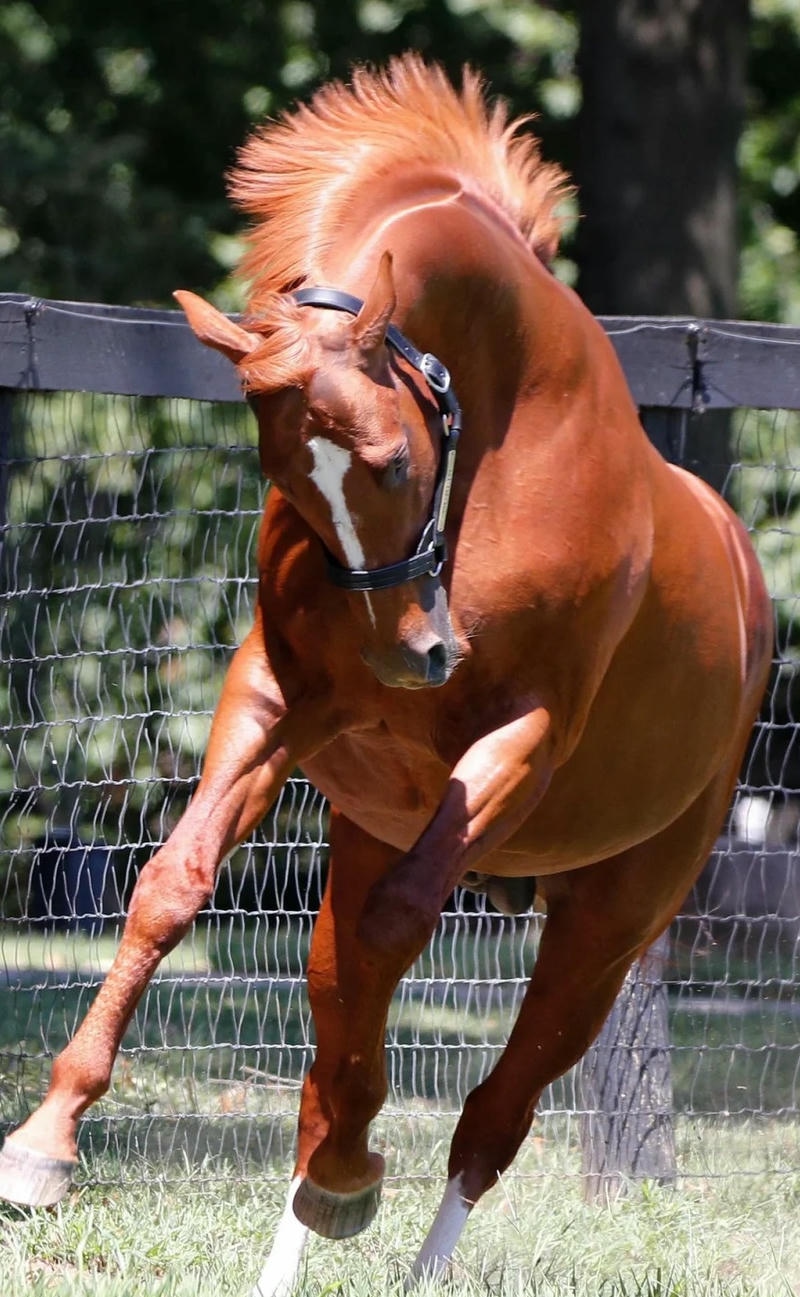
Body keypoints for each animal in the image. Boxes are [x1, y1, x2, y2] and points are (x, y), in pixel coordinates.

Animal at [1, 55, 772, 1291]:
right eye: (285, 473)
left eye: (397, 459)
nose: (414, 658)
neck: (508, 429)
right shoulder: (277, 697)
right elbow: (172, 885)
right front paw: (43, 1142)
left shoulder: (524, 732)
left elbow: (396, 928)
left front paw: (354, 1161)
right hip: (370, 826)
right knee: (335, 998)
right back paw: (317, 1191)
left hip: (611, 921)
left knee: (491, 1114)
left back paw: (380, 1204)